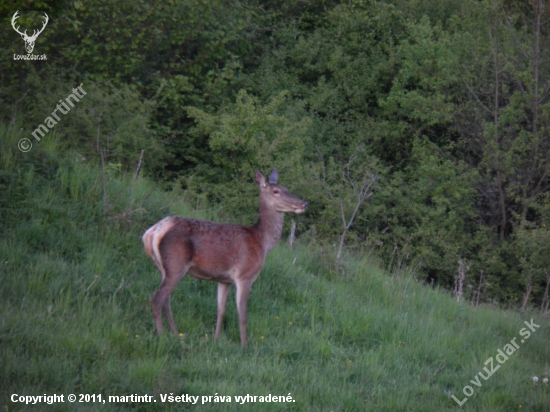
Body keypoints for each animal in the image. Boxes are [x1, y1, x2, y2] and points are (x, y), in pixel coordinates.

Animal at [142, 169, 308, 346]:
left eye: (286, 188)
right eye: (276, 191)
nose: (304, 203)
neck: (261, 242)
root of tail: (152, 232)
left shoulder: (224, 280)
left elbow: (221, 310)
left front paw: (216, 339)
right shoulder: (245, 275)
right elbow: (243, 314)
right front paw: (244, 345)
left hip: (163, 268)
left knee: (166, 301)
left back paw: (176, 333)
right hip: (176, 265)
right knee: (157, 299)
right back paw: (161, 336)